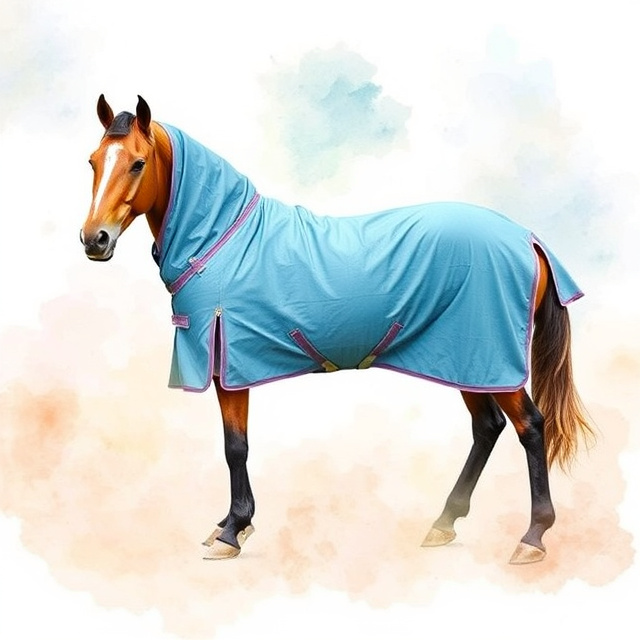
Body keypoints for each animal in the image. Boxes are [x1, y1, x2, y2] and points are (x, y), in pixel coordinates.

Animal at [80, 95, 594, 565]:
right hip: (466, 359)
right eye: (92, 162)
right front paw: (229, 524)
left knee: (530, 427)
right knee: (487, 427)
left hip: (489, 359)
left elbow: (235, 447)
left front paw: (233, 531)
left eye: (137, 163)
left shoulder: (231, 363)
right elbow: (234, 444)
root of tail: (528, 238)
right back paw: (443, 523)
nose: (94, 240)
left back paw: (532, 537)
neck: (223, 241)